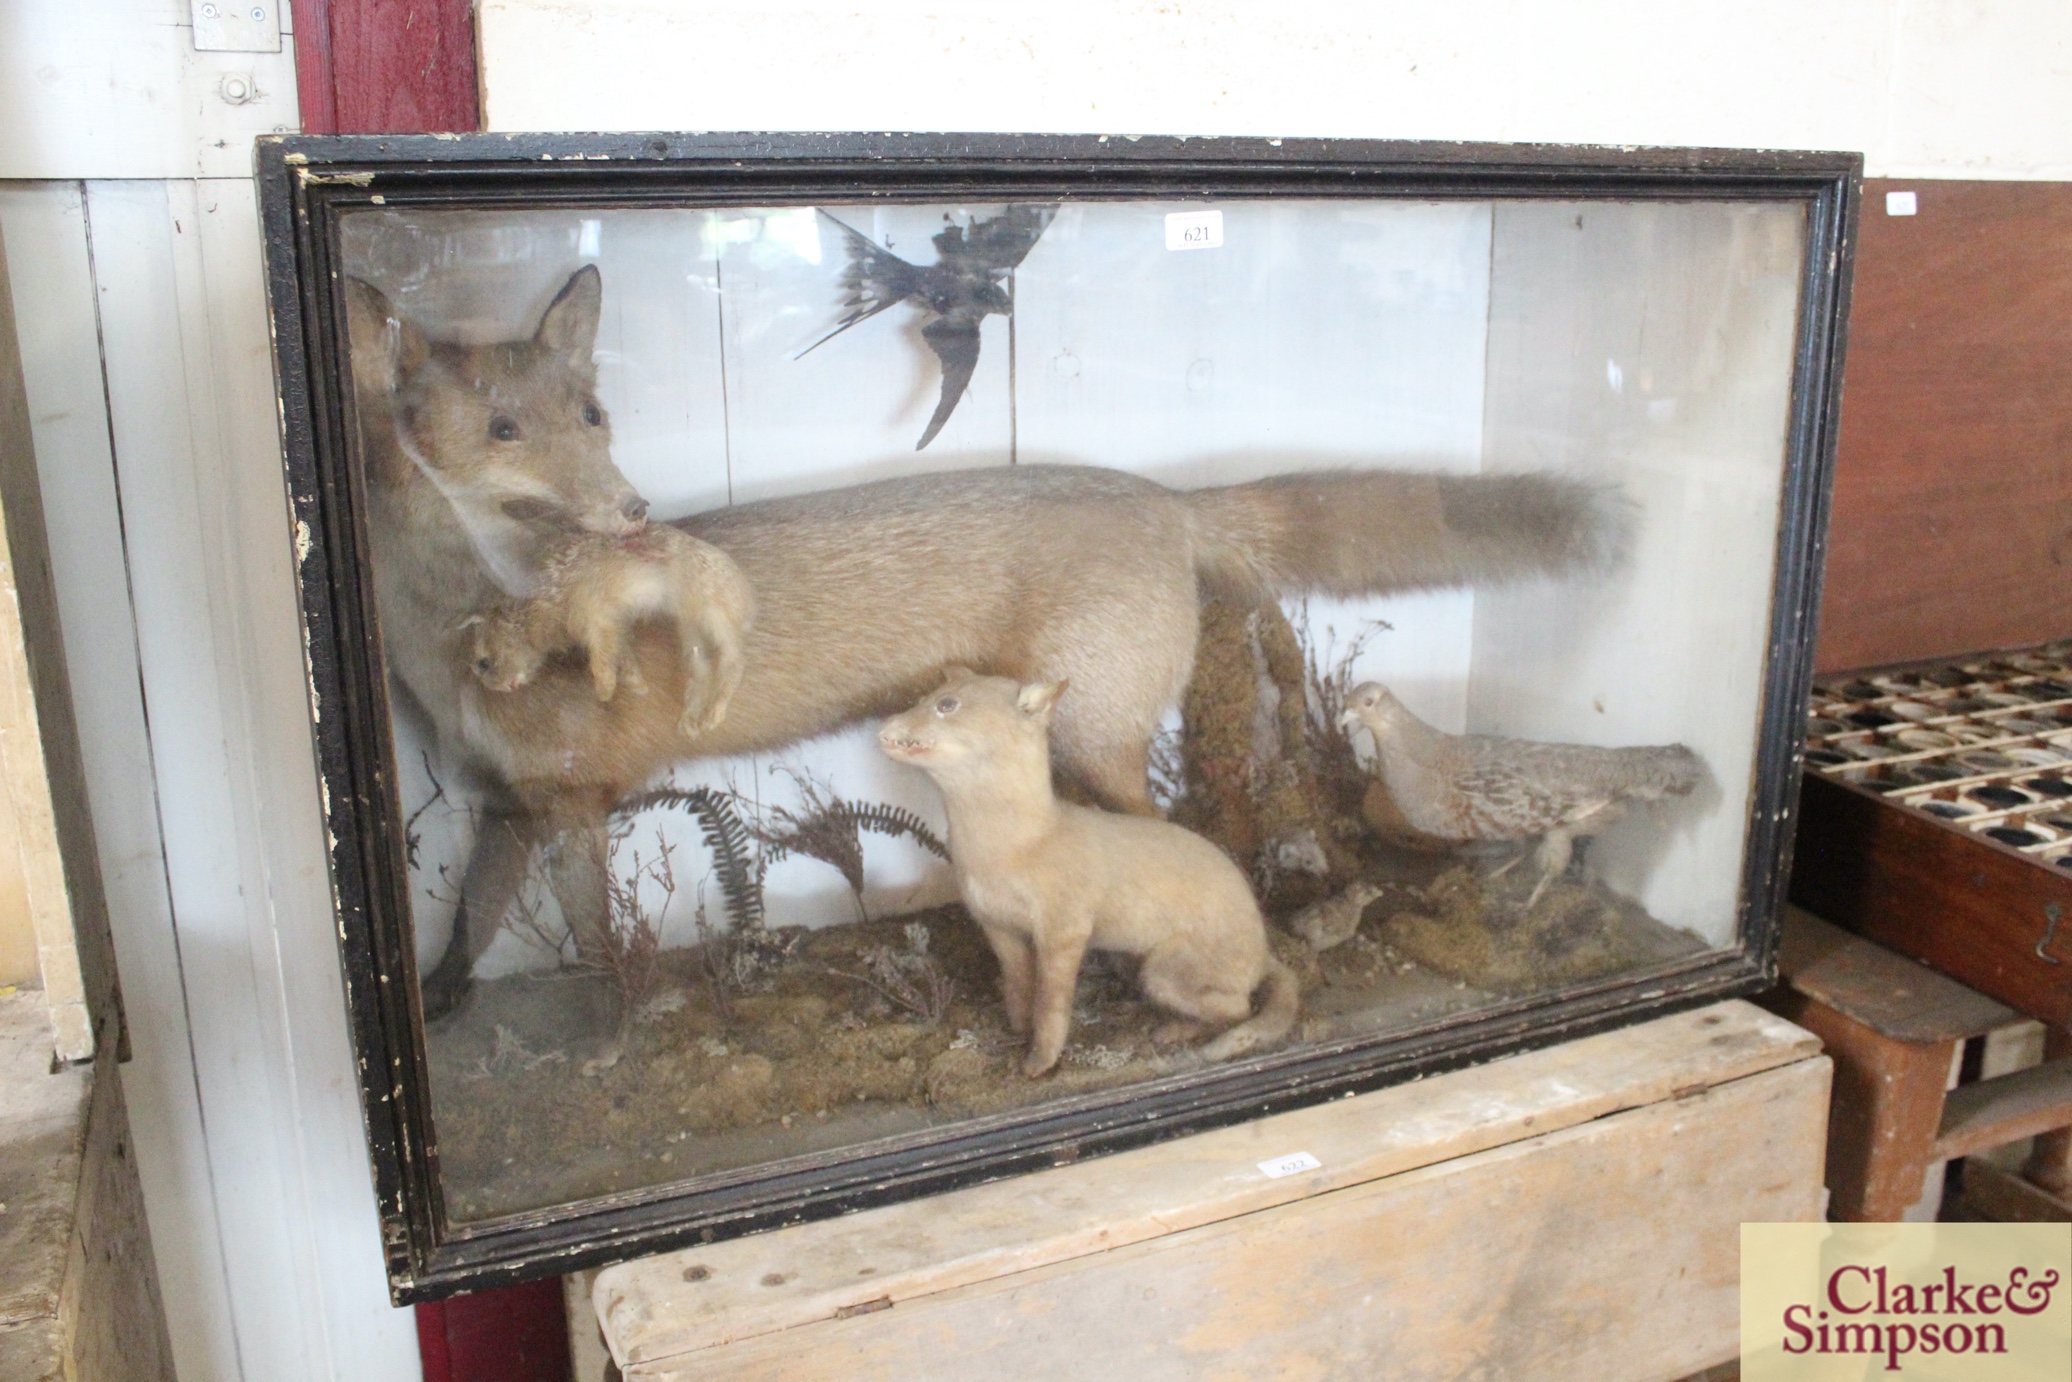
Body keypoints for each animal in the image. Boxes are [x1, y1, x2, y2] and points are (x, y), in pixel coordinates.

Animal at [343, 267, 1616, 1015]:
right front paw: (442, 997)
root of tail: (1160, 497)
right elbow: (469, 918)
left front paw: (618, 1011)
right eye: (504, 428)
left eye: (593, 415)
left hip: (1096, 732)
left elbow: (593, 934)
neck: (452, 645)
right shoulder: (505, 797)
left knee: (1193, 833)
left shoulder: (575, 795)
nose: (631, 511)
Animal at [882, 675, 1301, 1077]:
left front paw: (1038, 1063)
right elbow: (1018, 984)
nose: (885, 728)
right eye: (924, 696)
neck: (1008, 852)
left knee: (1239, 1008)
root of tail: (1263, 951)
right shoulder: (994, 923)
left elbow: (1051, 1003)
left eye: (946, 704)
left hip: (1163, 971)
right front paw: (1017, 1029)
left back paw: (1176, 1029)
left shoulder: (1065, 927)